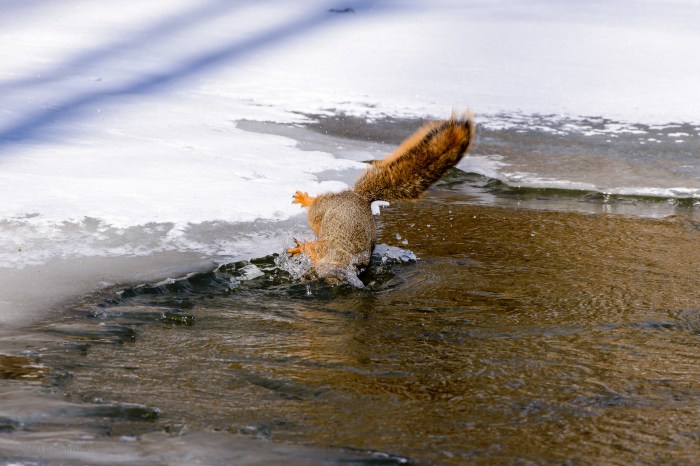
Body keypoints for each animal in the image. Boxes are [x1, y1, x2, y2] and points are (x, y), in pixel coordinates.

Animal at [288, 111, 476, 281]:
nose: (332, 278)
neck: (341, 252)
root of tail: (360, 198)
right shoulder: (325, 246)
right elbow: (313, 249)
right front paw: (301, 248)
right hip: (321, 211)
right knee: (316, 206)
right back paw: (305, 199)